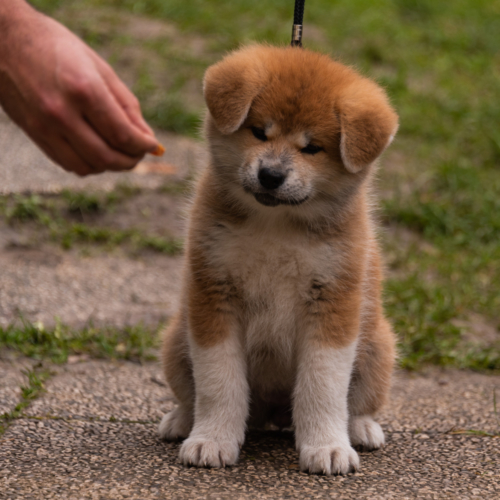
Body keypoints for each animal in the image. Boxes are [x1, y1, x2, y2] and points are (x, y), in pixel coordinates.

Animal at [160, 45, 398, 474]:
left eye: (311, 147)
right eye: (259, 132)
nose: (271, 175)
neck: (277, 224)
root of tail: (272, 414)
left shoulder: (333, 301)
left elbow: (323, 386)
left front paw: (327, 447)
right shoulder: (213, 292)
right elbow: (219, 382)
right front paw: (211, 440)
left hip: (378, 348)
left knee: (356, 403)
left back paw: (359, 428)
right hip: (175, 342)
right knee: (194, 395)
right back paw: (182, 420)